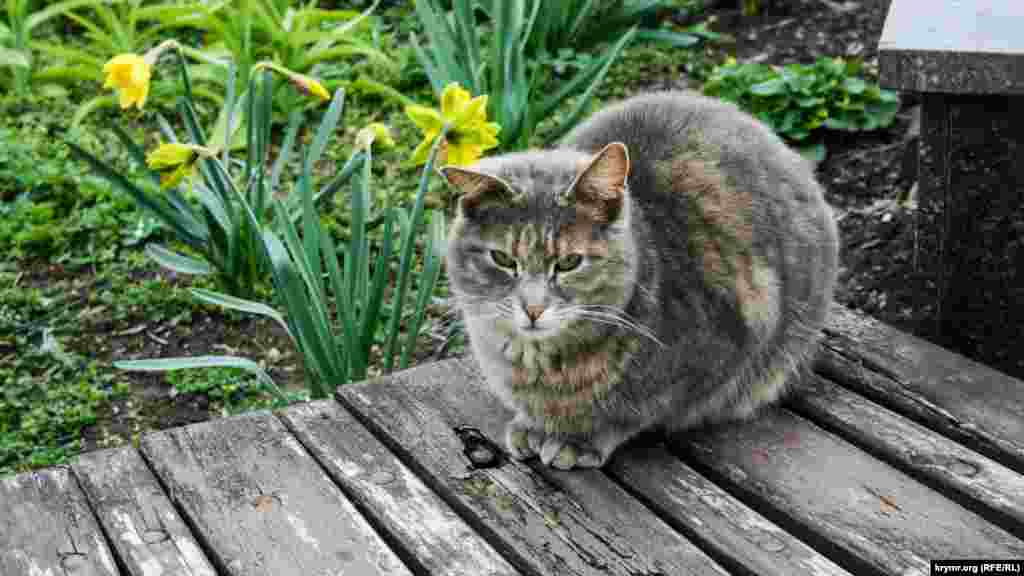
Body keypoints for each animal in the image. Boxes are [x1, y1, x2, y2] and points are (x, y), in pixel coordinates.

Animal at [440, 88, 839, 467]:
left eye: (569, 262)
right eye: (503, 259)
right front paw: (532, 425)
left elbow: (633, 415)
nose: (533, 308)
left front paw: (578, 439)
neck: (543, 367)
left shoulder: (721, 355)